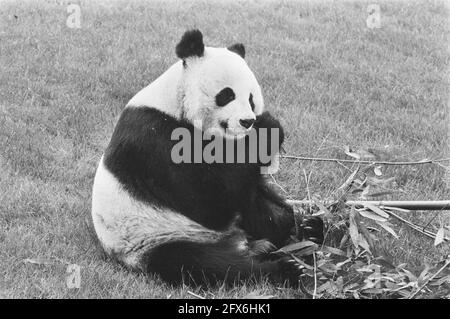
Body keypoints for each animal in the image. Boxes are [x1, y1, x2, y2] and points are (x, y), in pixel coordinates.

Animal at [92, 28, 324, 286]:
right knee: (206, 264)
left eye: (251, 98)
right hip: (158, 236)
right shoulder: (153, 141)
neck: (174, 102)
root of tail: (239, 243)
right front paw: (267, 126)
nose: (247, 121)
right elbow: (208, 201)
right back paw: (285, 268)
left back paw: (305, 231)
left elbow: (249, 187)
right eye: (227, 95)